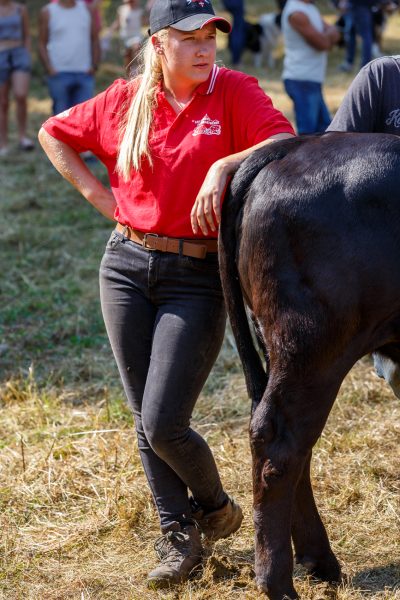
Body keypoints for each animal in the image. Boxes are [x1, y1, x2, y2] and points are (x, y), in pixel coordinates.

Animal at [219, 131, 400, 600]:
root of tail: (296, 145)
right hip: (313, 348)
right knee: (280, 442)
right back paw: (278, 582)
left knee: (289, 444)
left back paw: (319, 561)